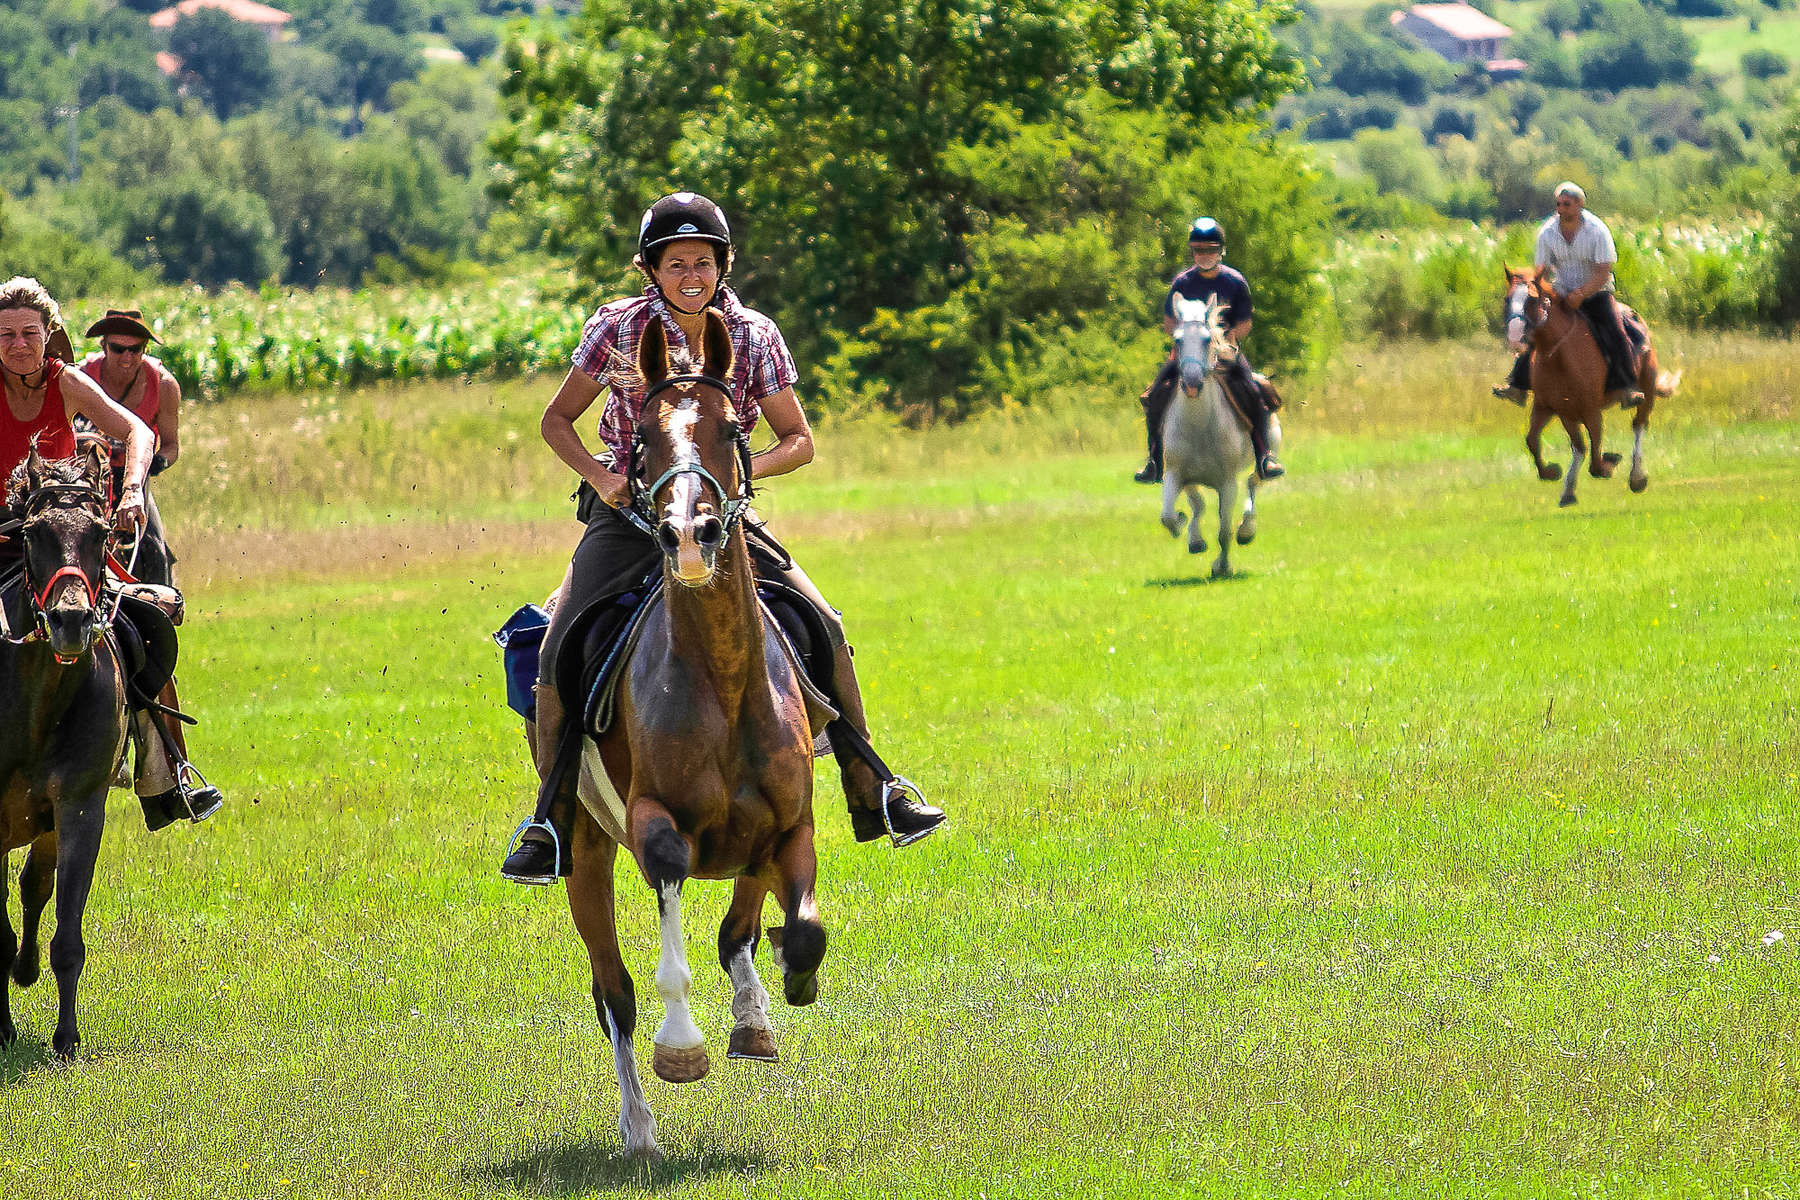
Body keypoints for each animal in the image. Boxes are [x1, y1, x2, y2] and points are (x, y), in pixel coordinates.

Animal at [561, 314, 824, 1158]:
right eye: (642, 436)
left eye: (732, 427)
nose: (688, 534)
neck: (725, 677)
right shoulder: (655, 824)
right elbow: (667, 943)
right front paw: (682, 1047)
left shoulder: (791, 824)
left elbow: (797, 932)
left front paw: (777, 995)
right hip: (583, 849)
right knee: (612, 990)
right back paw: (639, 1130)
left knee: (735, 929)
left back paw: (753, 1016)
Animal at [1159, 300, 1274, 582]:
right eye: (1177, 340)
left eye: (1206, 339)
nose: (1191, 383)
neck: (1199, 425)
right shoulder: (1176, 474)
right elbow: (1170, 515)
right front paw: (1186, 529)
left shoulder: (1227, 483)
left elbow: (1224, 531)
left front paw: (1222, 567)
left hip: (1267, 453)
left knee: (1254, 483)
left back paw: (1246, 530)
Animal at [1497, 262, 1677, 507]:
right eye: (1508, 299)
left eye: (1532, 299)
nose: (1515, 336)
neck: (1559, 357)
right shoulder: (1554, 408)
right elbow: (1537, 441)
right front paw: (1555, 475)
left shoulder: (1591, 410)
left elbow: (1596, 460)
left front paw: (1610, 462)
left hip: (1647, 391)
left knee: (1639, 425)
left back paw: (1637, 477)